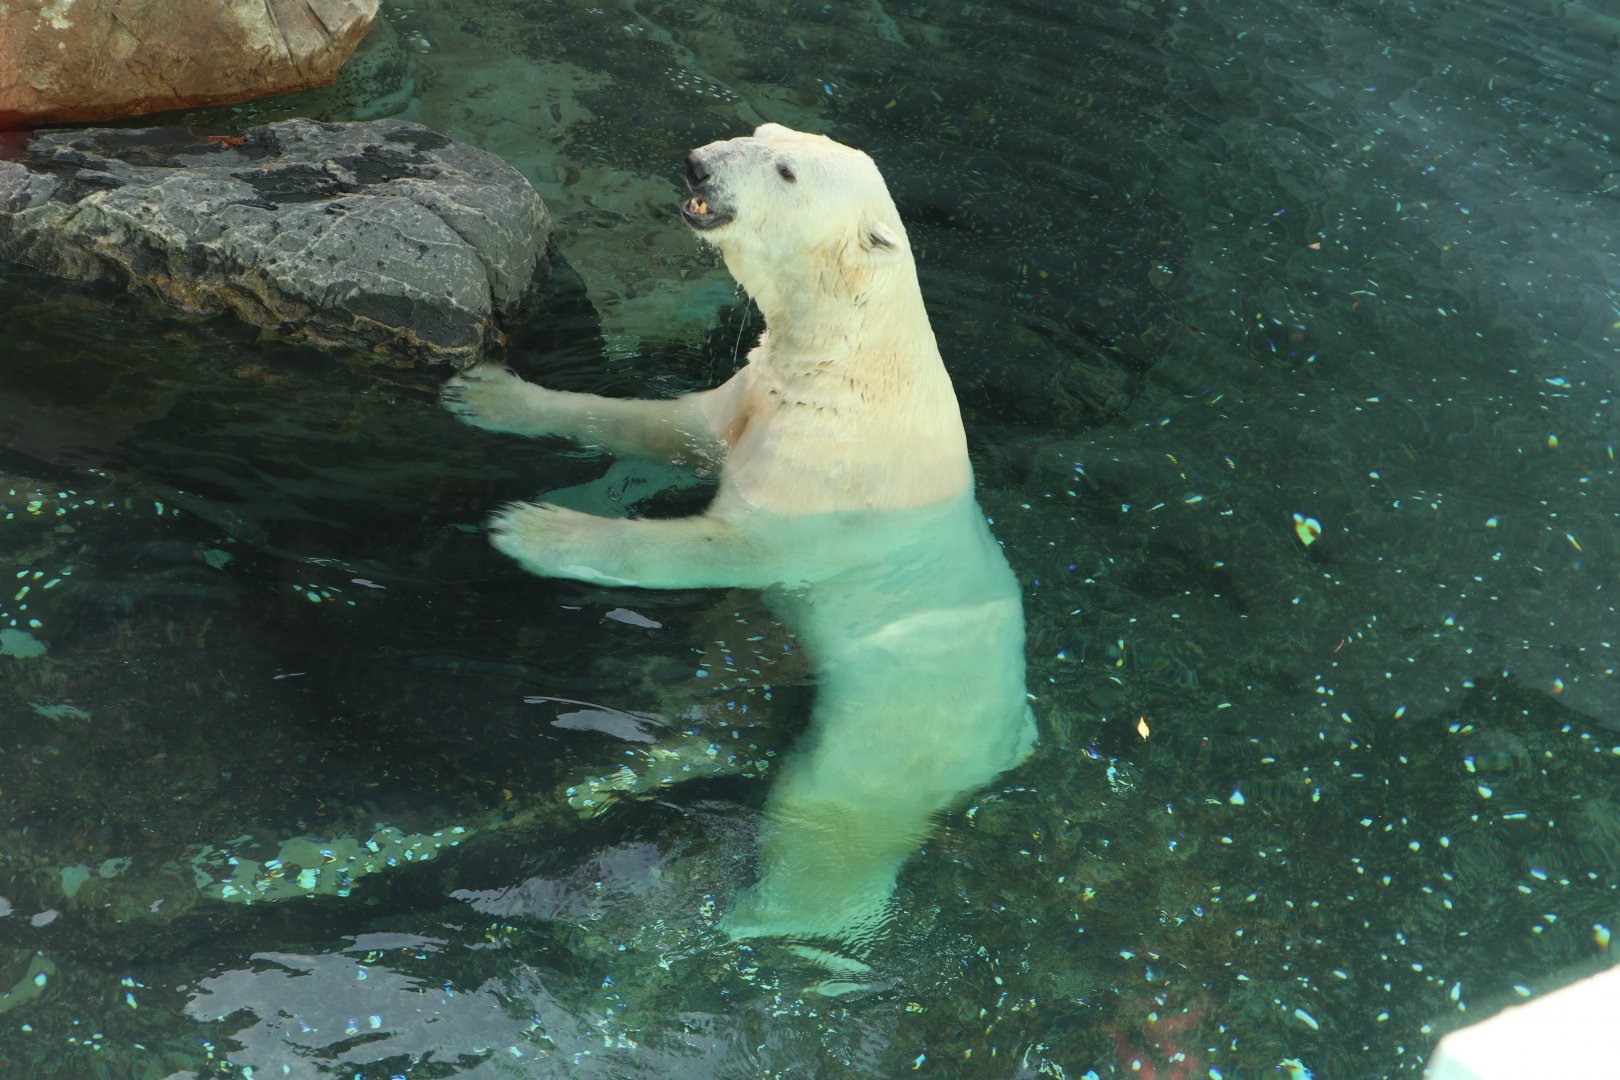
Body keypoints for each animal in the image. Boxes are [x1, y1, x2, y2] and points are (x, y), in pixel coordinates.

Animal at [442, 123, 1035, 971]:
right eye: (762, 133)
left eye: (783, 168)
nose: (697, 164)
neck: (851, 363)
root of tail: (1012, 741)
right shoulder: (752, 396)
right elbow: (665, 423)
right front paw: (488, 392)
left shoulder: (823, 480)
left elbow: (723, 545)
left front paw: (531, 528)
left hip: (908, 718)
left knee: (836, 809)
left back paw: (770, 919)